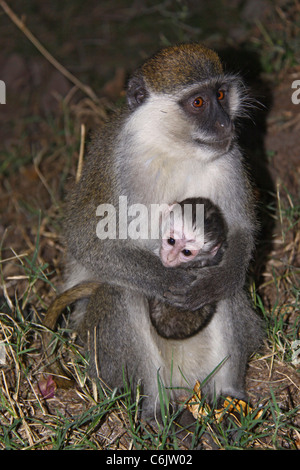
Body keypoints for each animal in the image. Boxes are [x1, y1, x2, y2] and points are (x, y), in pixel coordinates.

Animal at [62, 44, 262, 416]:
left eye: (220, 95)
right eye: (198, 102)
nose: (224, 123)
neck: (172, 147)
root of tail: (183, 385)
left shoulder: (229, 156)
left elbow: (239, 232)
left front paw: (210, 282)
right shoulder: (114, 160)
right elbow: (86, 240)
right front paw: (169, 280)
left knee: (225, 291)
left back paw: (227, 397)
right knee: (122, 292)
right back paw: (155, 409)